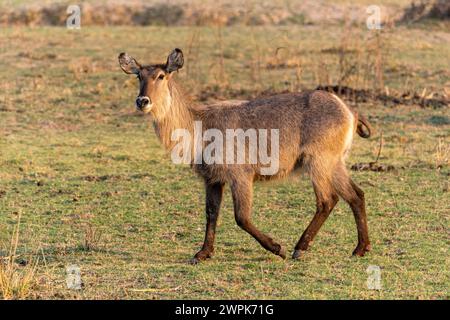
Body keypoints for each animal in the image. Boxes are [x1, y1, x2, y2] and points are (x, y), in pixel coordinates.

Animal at [117, 47, 372, 262]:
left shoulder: (240, 176)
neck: (199, 124)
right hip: (334, 163)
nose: (142, 101)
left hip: (318, 162)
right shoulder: (212, 179)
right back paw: (360, 249)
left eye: (161, 76)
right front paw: (203, 253)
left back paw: (299, 248)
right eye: (139, 76)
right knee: (356, 195)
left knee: (327, 200)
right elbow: (211, 213)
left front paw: (277, 248)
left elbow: (242, 217)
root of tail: (350, 111)